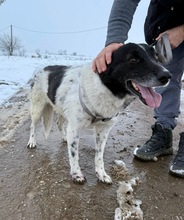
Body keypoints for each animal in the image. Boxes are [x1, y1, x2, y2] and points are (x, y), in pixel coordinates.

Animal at [27, 43, 171, 184]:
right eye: (133, 59)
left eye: (156, 57)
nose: (167, 76)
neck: (105, 89)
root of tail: (42, 69)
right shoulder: (74, 128)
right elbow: (74, 155)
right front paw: (76, 174)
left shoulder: (103, 130)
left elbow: (99, 155)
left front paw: (101, 174)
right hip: (37, 108)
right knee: (33, 125)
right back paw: (32, 142)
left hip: (61, 108)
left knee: (58, 123)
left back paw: (64, 137)